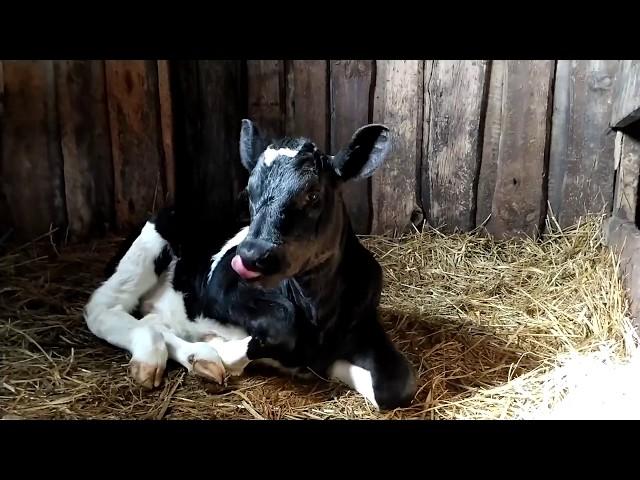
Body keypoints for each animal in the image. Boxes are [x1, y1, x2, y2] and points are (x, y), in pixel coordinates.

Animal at [84, 119, 416, 408]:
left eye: (313, 193)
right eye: (249, 191)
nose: (252, 254)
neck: (316, 313)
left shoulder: (363, 322)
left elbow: (397, 385)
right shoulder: (220, 286)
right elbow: (283, 326)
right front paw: (221, 348)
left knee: (152, 319)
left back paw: (196, 357)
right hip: (146, 248)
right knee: (103, 309)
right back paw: (160, 355)